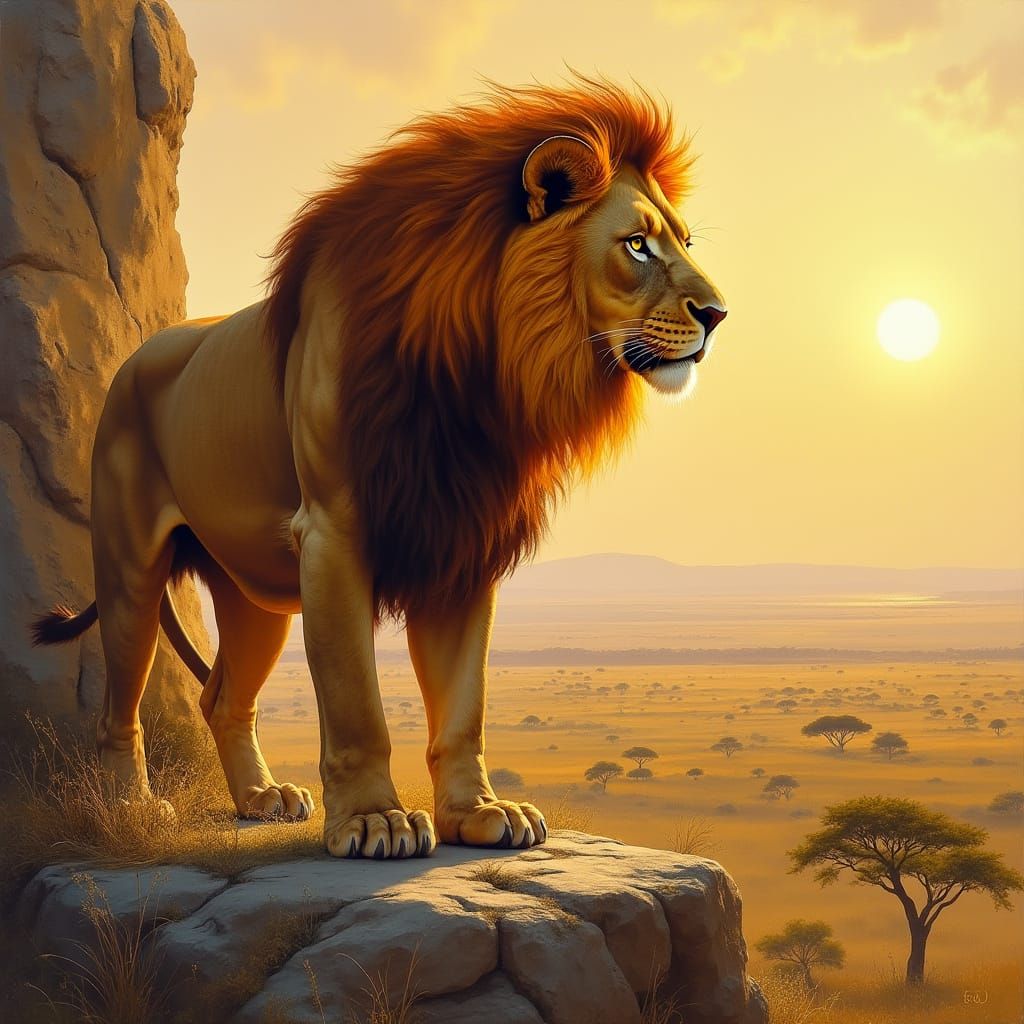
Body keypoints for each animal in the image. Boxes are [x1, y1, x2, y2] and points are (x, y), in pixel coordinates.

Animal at [32, 77, 726, 858]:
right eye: (636, 245)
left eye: (684, 243)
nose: (718, 313)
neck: (480, 369)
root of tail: (138, 354)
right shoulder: (334, 533)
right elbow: (355, 701)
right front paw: (374, 821)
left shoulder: (462, 534)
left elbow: (463, 703)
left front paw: (479, 812)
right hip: (131, 568)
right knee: (118, 701)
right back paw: (133, 807)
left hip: (252, 592)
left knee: (223, 698)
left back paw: (260, 798)